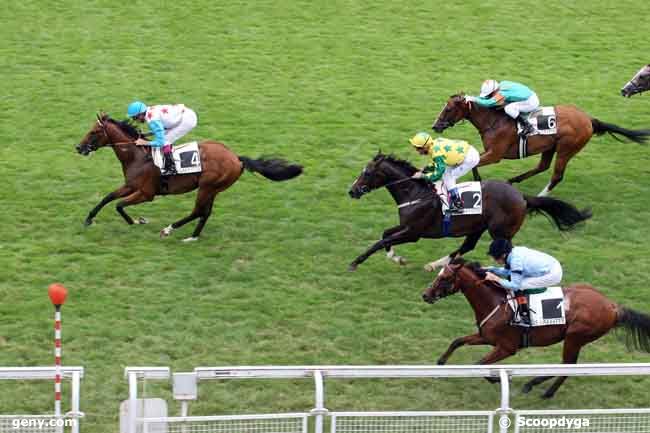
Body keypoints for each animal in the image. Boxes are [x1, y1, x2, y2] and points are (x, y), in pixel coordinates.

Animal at [74, 113, 302, 241]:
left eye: (94, 132)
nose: (78, 147)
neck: (137, 155)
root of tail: (236, 158)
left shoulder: (146, 193)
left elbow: (119, 205)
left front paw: (137, 221)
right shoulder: (130, 186)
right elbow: (108, 198)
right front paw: (88, 219)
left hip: (207, 186)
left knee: (197, 211)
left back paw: (169, 230)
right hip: (213, 189)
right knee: (205, 213)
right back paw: (193, 237)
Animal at [346, 154, 588, 272]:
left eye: (367, 173)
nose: (352, 191)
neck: (415, 192)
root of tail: (521, 196)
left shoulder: (413, 232)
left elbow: (380, 241)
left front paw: (355, 262)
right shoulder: (405, 226)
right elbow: (385, 234)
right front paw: (397, 258)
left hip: (500, 231)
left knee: (501, 250)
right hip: (478, 227)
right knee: (467, 246)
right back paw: (436, 264)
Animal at [422, 258, 648, 396]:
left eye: (445, 277)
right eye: (438, 275)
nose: (425, 295)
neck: (496, 302)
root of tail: (612, 306)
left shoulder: (507, 347)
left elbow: (479, 365)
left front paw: (498, 380)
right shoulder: (486, 336)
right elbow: (457, 341)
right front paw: (440, 365)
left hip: (575, 337)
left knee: (568, 365)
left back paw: (536, 386)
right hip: (575, 338)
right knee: (568, 366)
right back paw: (543, 389)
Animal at [430, 95, 648, 197]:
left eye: (448, 109)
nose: (435, 126)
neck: (494, 121)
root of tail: (589, 120)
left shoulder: (495, 154)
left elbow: (475, 164)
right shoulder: (490, 152)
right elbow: (473, 161)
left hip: (566, 149)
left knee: (557, 175)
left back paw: (541, 194)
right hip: (550, 147)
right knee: (542, 166)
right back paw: (513, 180)